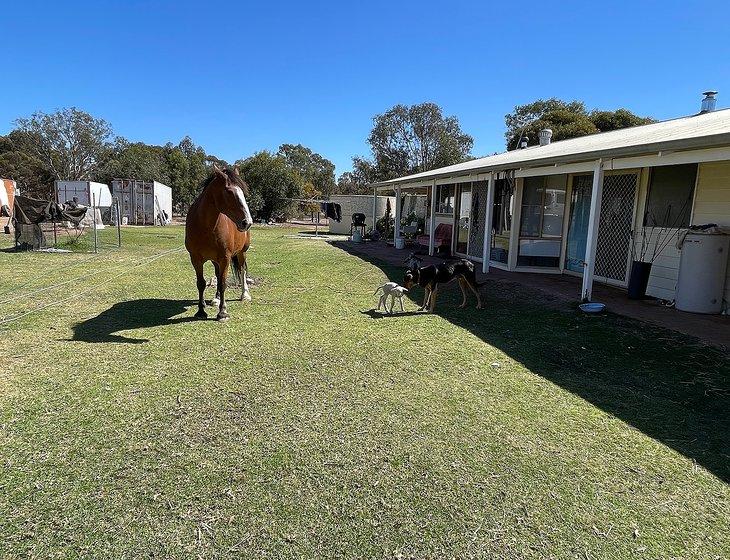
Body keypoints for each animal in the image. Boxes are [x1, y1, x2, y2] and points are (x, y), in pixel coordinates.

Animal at [183, 164, 252, 322]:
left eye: (243, 193)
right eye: (229, 192)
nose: (247, 222)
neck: (205, 227)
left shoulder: (225, 258)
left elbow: (223, 283)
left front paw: (223, 312)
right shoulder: (195, 259)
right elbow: (201, 283)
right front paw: (201, 311)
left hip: (241, 252)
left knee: (242, 270)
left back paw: (244, 295)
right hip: (215, 259)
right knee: (217, 273)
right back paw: (216, 299)